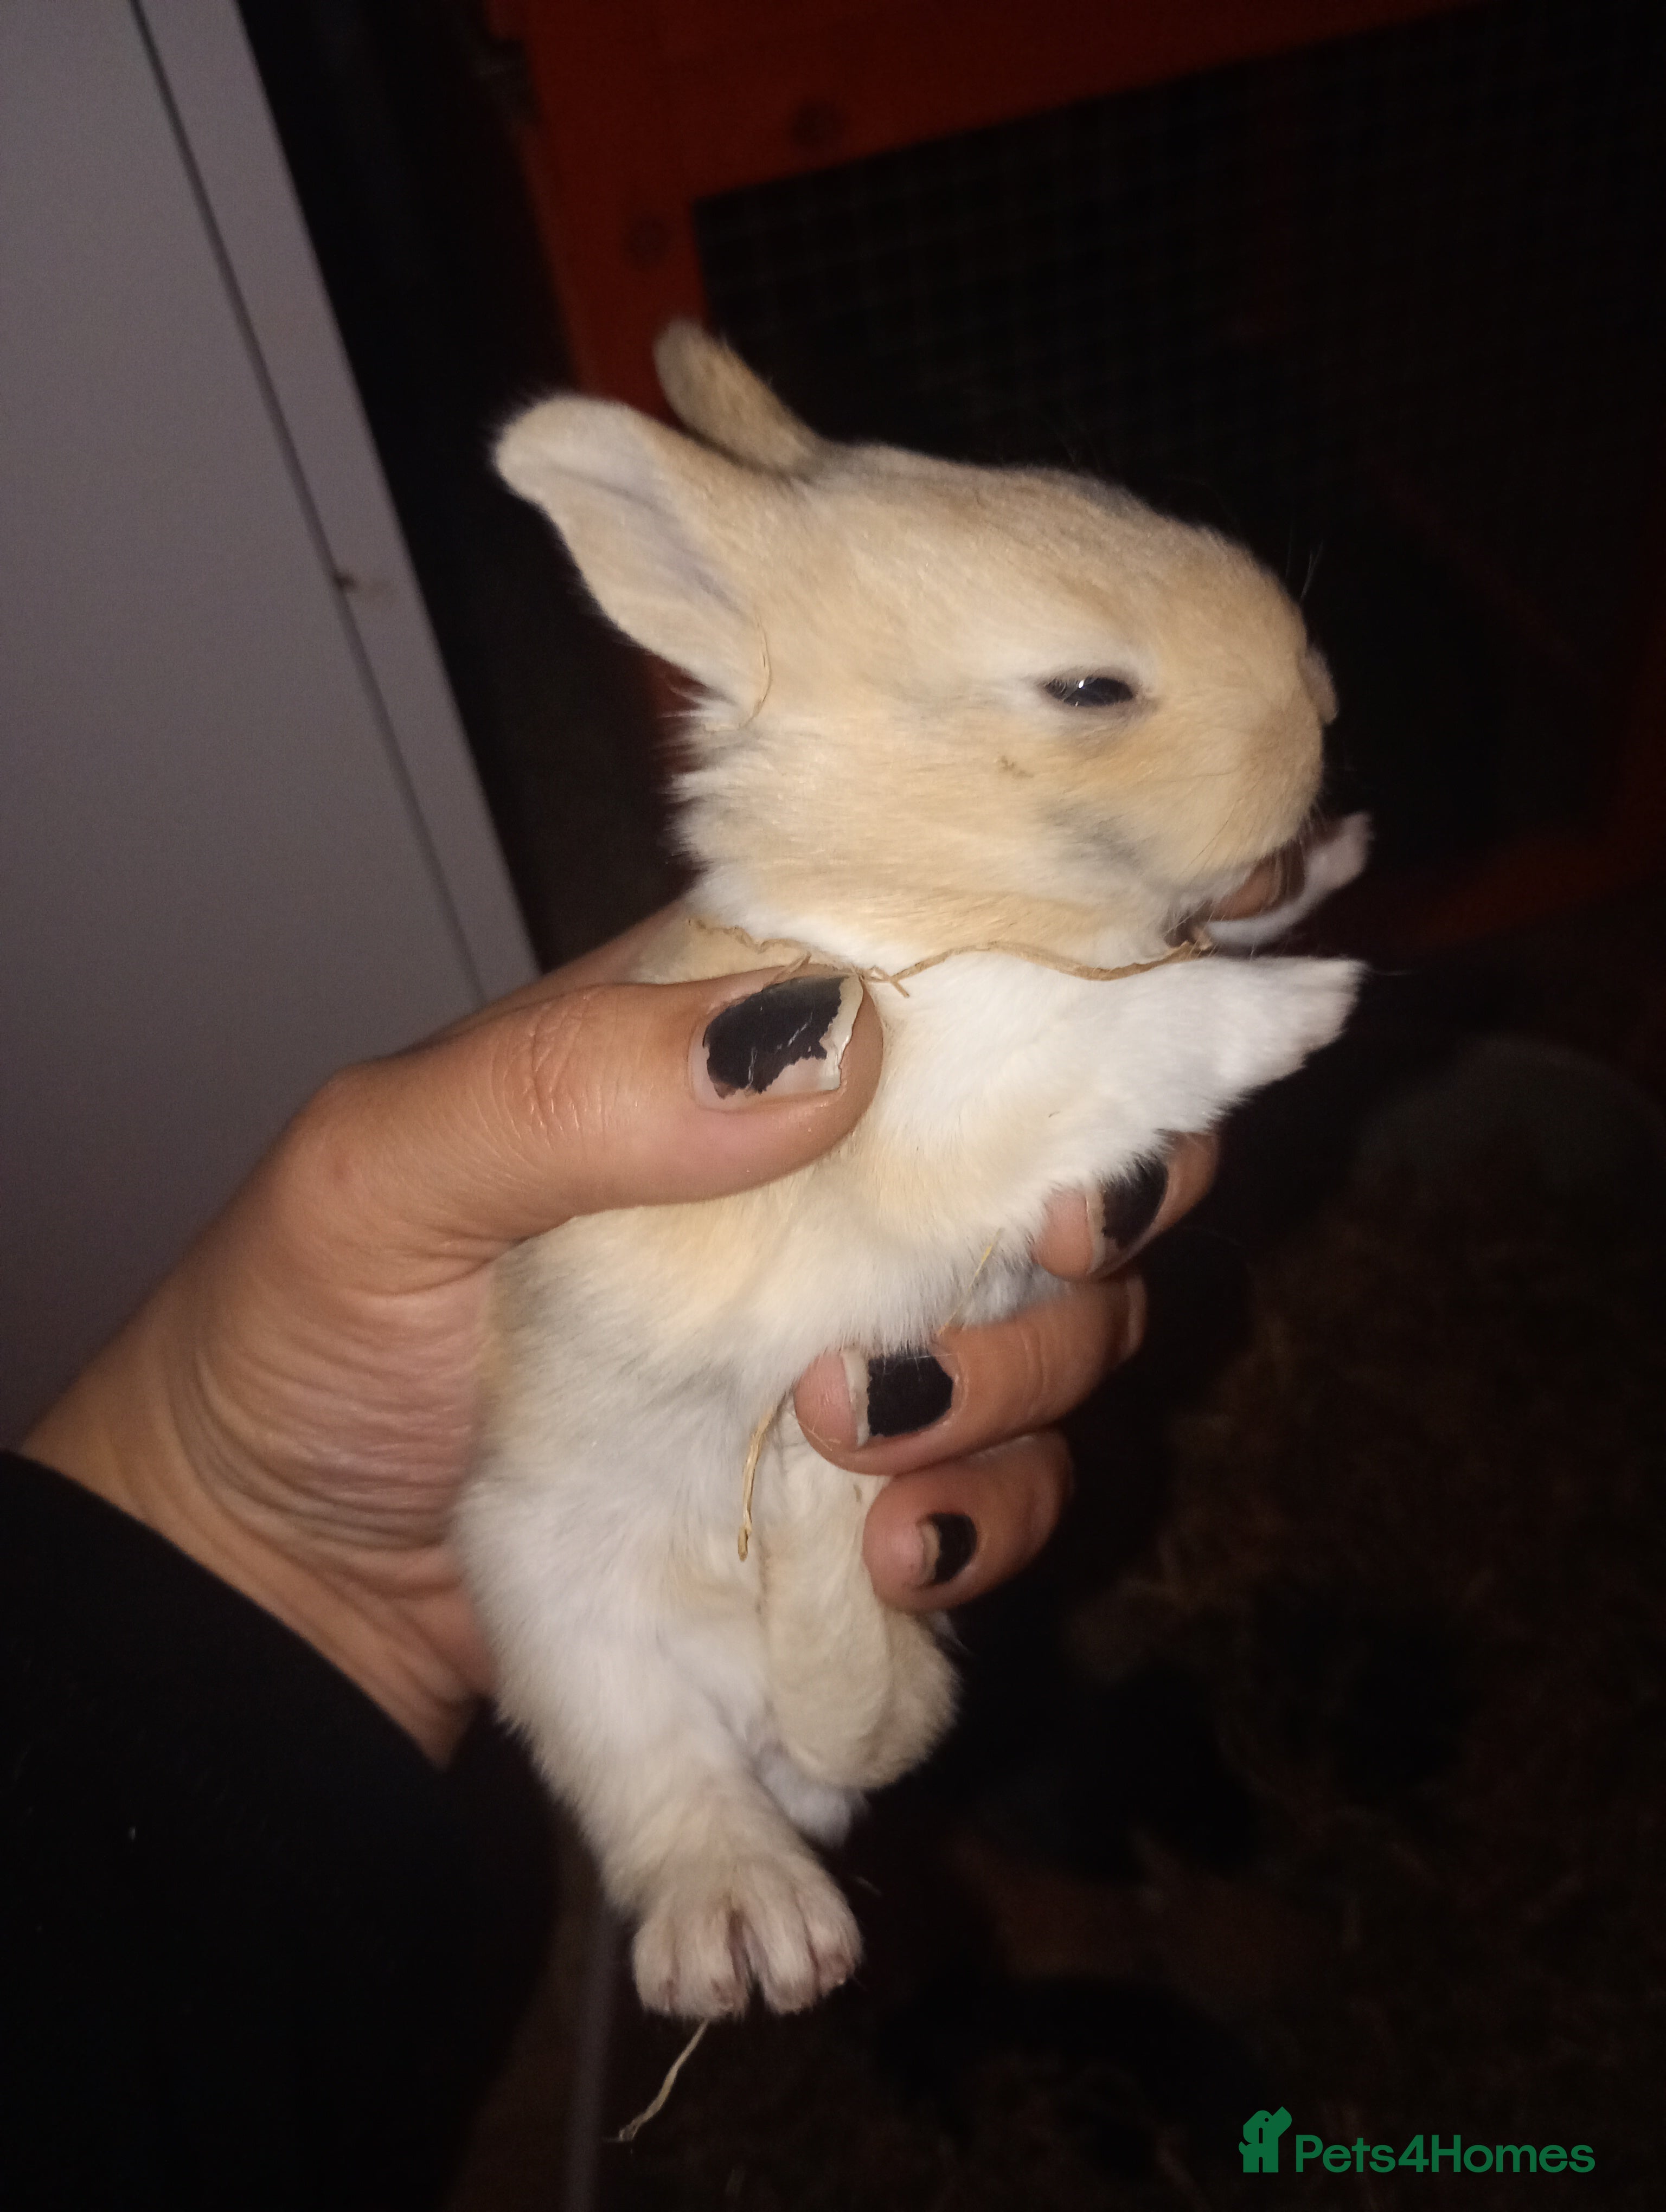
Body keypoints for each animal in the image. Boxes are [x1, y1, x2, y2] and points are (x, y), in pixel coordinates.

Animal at [459, 323, 1366, 2021]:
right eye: (1087, 686)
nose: (1327, 704)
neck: (898, 914)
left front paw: (1327, 877)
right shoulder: (952, 1084)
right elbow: (1136, 1030)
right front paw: (1312, 1004)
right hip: (552, 1605)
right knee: (668, 1782)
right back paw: (746, 1923)